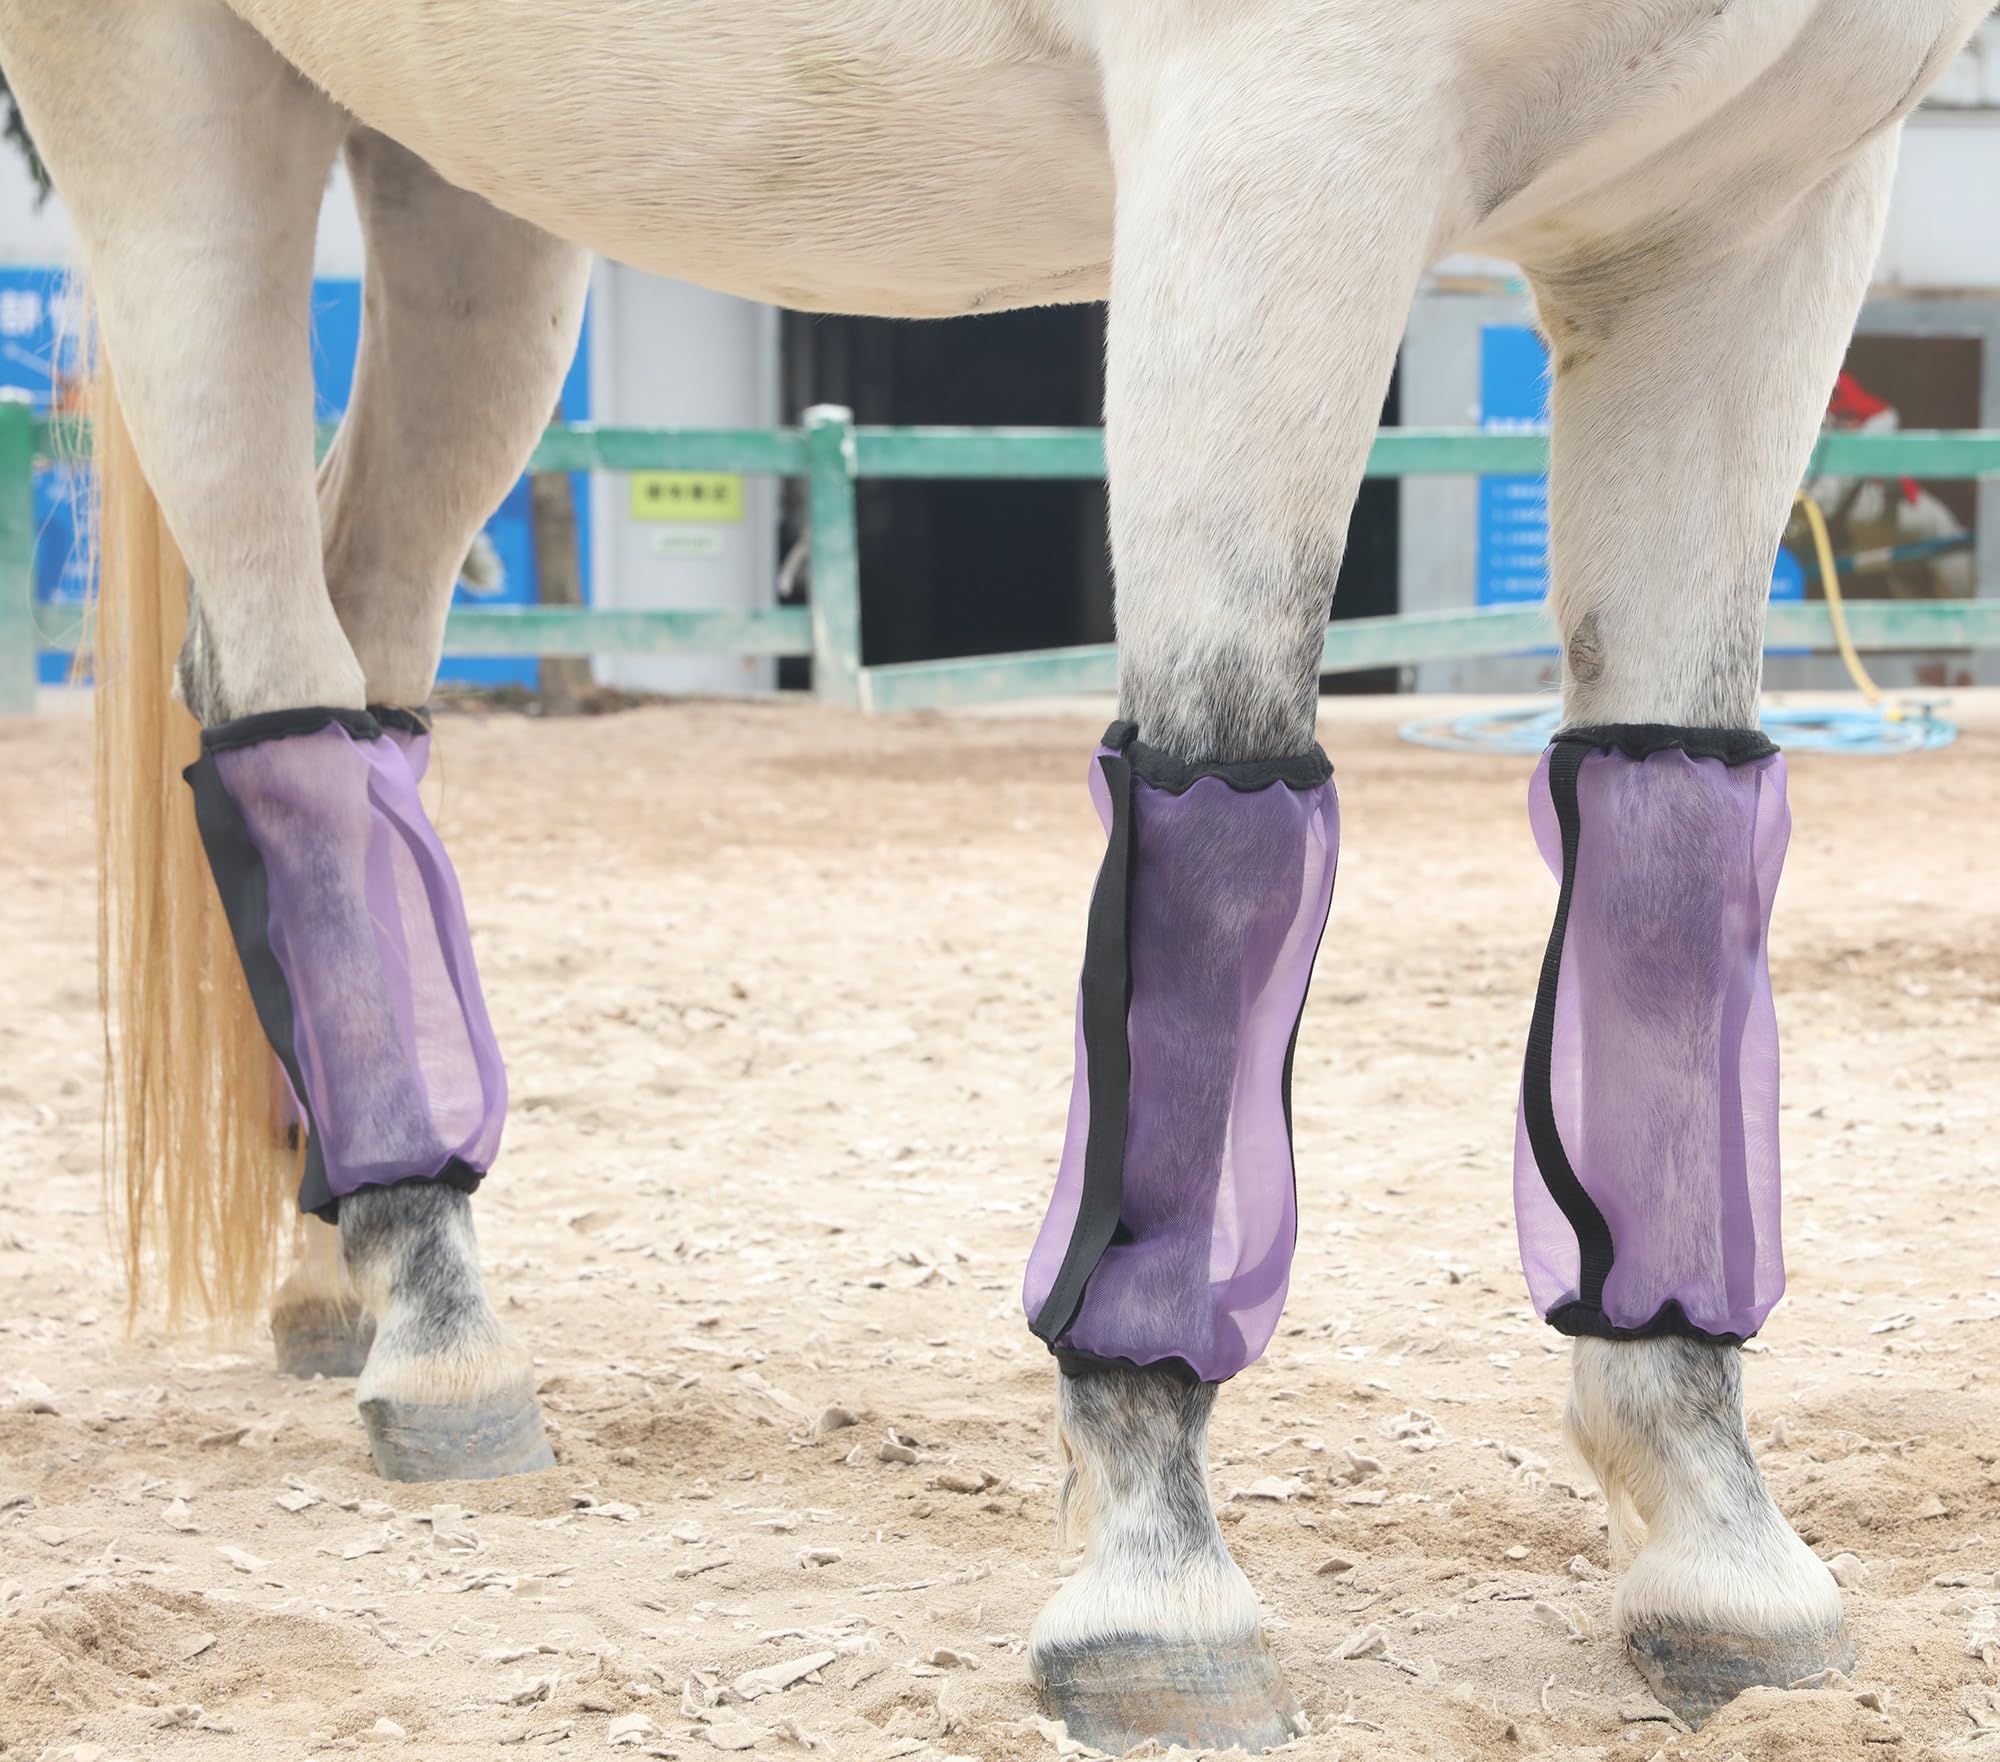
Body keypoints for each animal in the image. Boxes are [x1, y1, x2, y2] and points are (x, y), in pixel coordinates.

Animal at [0, 0, 1985, 1750]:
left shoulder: (1744, 229)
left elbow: (1669, 855)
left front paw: (1719, 1541)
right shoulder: (1281, 155)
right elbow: (1216, 830)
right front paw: (1155, 1580)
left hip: (463, 189)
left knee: (362, 642)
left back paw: (351, 1261)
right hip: (177, 125)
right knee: (273, 679)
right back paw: (434, 1321)